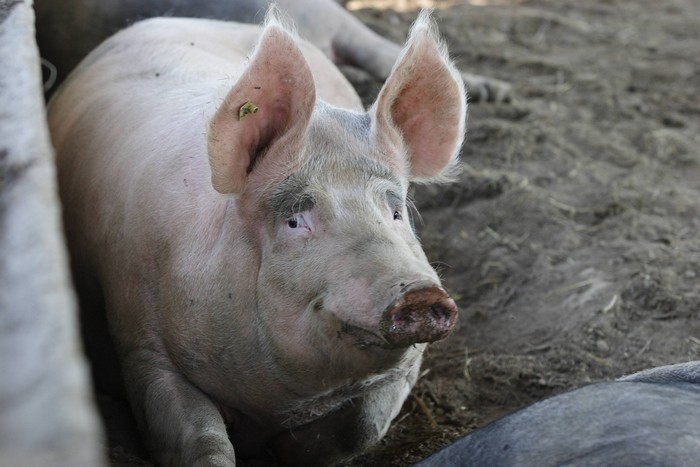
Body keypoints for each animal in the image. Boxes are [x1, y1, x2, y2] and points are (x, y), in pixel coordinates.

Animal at [46, 7, 468, 467]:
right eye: (295, 221)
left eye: (395, 212)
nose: (419, 293)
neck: (276, 403)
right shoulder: (142, 346)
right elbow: (203, 442)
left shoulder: (408, 365)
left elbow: (362, 427)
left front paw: (288, 449)